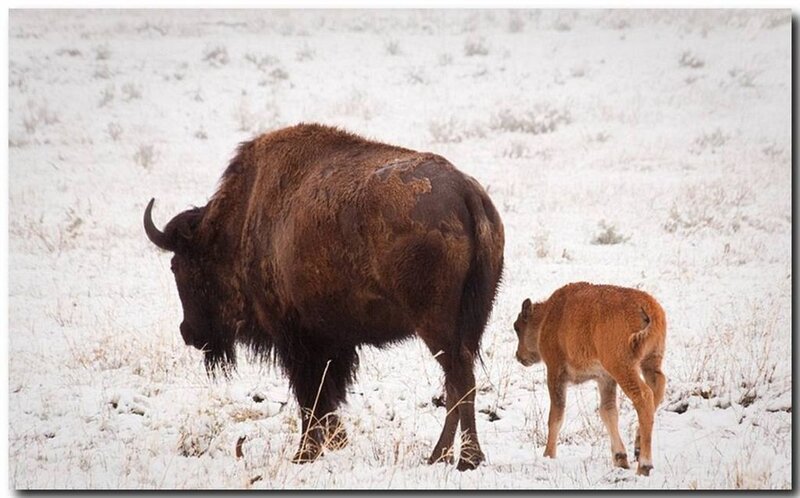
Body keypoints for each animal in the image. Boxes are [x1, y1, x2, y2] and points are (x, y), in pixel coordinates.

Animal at [144, 123, 505, 471]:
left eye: (177, 265)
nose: (188, 333)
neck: (242, 220)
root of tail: (466, 192)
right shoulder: (331, 342)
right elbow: (326, 396)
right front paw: (334, 443)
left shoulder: (297, 340)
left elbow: (310, 397)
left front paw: (304, 454)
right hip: (470, 323)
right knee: (457, 382)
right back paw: (440, 457)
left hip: (436, 326)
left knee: (459, 378)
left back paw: (465, 459)